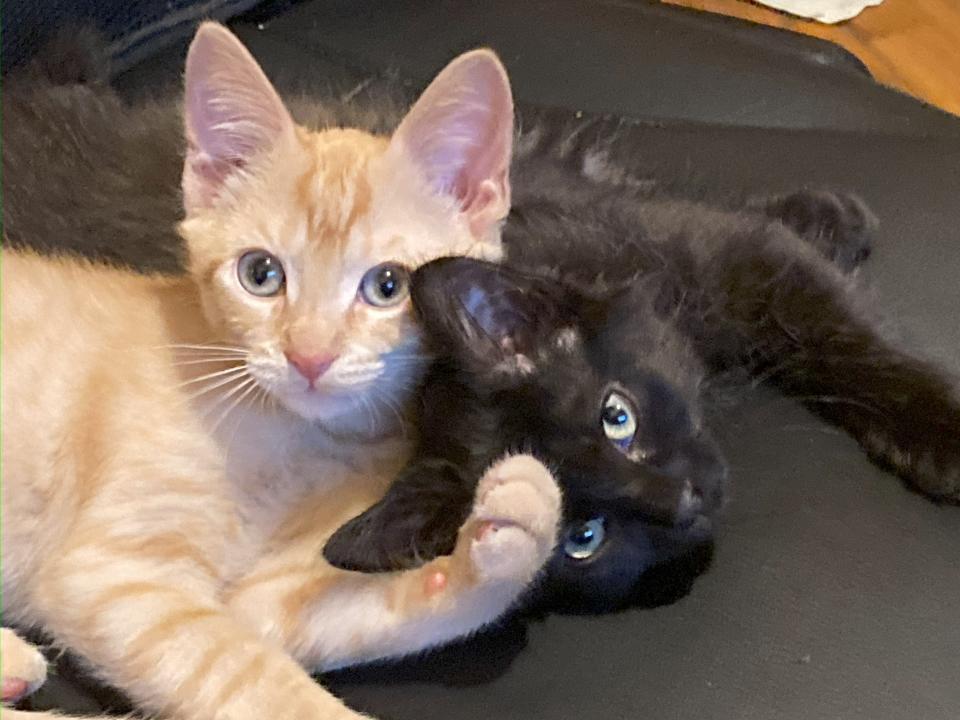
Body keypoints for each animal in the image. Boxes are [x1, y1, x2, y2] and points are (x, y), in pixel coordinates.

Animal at [0, 22, 564, 720]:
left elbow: (353, 610)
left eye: (388, 286)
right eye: (260, 274)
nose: (309, 355)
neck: (300, 439)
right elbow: (259, 681)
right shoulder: (112, 578)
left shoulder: (254, 600)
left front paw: (506, 536)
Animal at [324, 166, 960, 612]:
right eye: (584, 536)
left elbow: (838, 327)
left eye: (617, 416)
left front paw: (943, 431)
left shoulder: (719, 253)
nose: (682, 500)